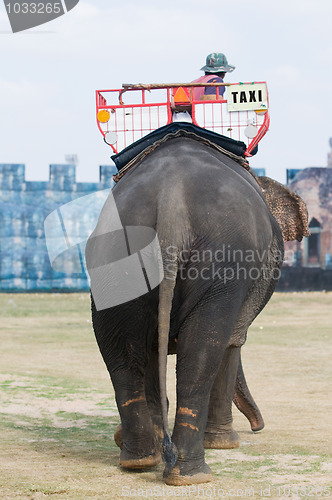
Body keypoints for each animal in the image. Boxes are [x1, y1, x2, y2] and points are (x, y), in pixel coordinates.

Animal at [85, 135, 308, 486]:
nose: (258, 427)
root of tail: (169, 203)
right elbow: (232, 341)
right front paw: (224, 443)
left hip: (113, 261)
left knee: (123, 351)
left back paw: (139, 459)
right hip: (223, 263)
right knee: (204, 348)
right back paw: (192, 474)